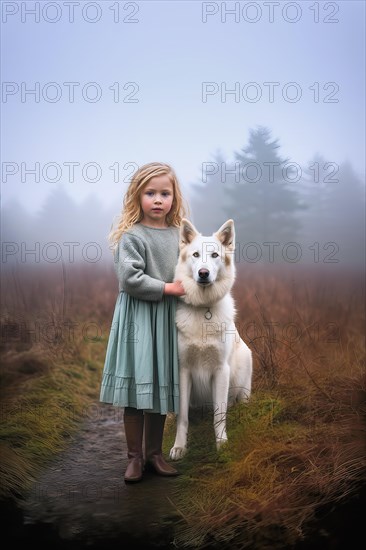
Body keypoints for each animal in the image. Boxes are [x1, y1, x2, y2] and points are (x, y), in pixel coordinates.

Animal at [170, 218, 253, 460]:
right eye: (196, 255)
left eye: (215, 255)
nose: (204, 273)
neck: (203, 308)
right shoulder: (183, 370)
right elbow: (183, 417)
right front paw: (180, 447)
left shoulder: (221, 370)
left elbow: (219, 414)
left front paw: (221, 444)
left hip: (244, 365)